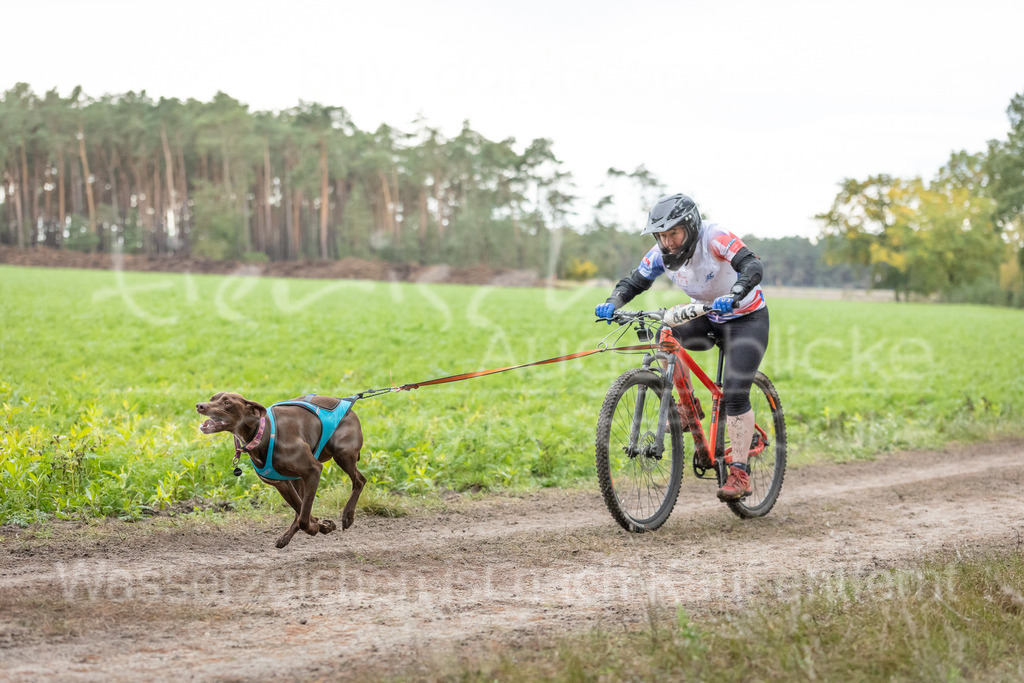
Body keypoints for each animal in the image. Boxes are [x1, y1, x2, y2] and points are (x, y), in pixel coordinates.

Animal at [193, 393, 366, 548]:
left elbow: (303, 519)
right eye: (212, 399)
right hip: (299, 479)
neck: (262, 433)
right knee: (299, 510)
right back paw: (287, 537)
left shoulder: (313, 470)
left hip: (342, 454)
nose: (200, 405)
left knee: (360, 481)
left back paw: (348, 516)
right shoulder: (282, 484)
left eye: (227, 402)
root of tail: (350, 405)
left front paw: (316, 527)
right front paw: (322, 526)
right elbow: (302, 511)